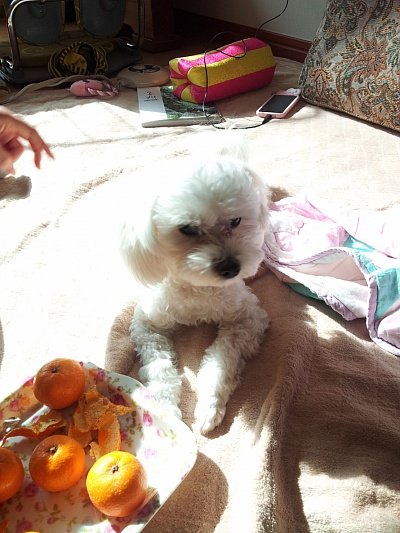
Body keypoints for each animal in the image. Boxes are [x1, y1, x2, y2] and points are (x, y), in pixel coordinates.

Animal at [119, 137, 271, 433]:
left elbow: (221, 360)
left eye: (236, 220)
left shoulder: (247, 318)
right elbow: (161, 368)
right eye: (187, 228)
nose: (231, 267)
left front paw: (209, 407)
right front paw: (165, 413)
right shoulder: (148, 326)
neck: (198, 287)